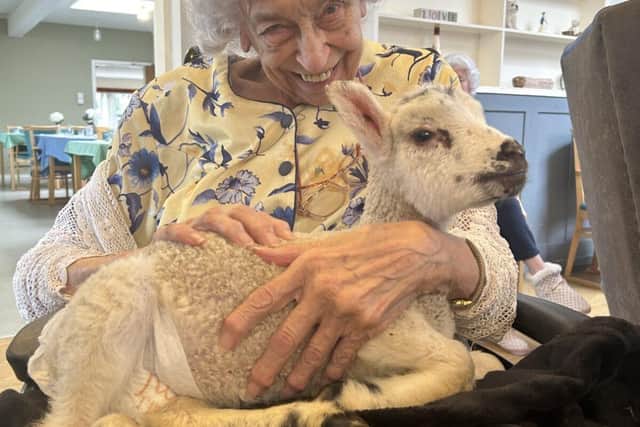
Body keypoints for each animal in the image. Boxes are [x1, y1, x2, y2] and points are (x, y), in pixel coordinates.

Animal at [32, 80, 527, 427]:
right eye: (425, 134)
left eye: (481, 116)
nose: (515, 154)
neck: (425, 301)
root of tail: (49, 346)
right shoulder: (376, 331)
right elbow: (460, 362)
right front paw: (357, 394)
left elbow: (477, 360)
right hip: (102, 328)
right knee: (82, 419)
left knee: (164, 413)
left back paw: (299, 412)